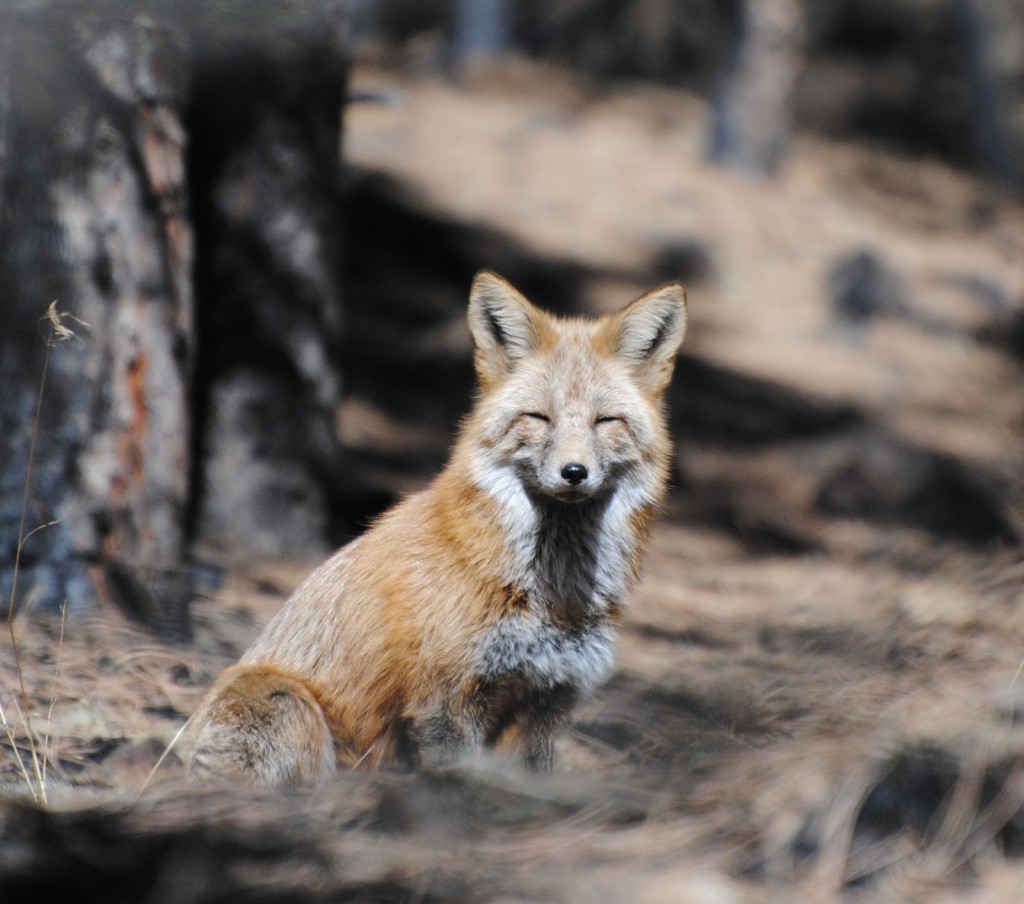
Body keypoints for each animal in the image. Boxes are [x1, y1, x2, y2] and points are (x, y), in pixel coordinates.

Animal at [190, 268, 688, 786]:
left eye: (605, 421)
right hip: (286, 701)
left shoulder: (547, 701)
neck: (550, 597)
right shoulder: (445, 700)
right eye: (538, 417)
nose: (574, 472)